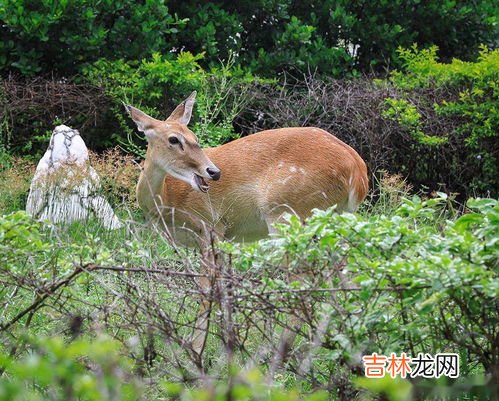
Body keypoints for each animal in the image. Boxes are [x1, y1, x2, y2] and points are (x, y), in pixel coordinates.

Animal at [124, 92, 368, 364]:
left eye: (194, 138)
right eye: (174, 139)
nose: (213, 172)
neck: (167, 200)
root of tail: (358, 171)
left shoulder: (210, 225)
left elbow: (206, 289)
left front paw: (197, 350)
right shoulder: (225, 237)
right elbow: (225, 289)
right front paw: (226, 345)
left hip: (288, 214)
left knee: (303, 283)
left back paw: (278, 354)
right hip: (334, 221)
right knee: (350, 278)